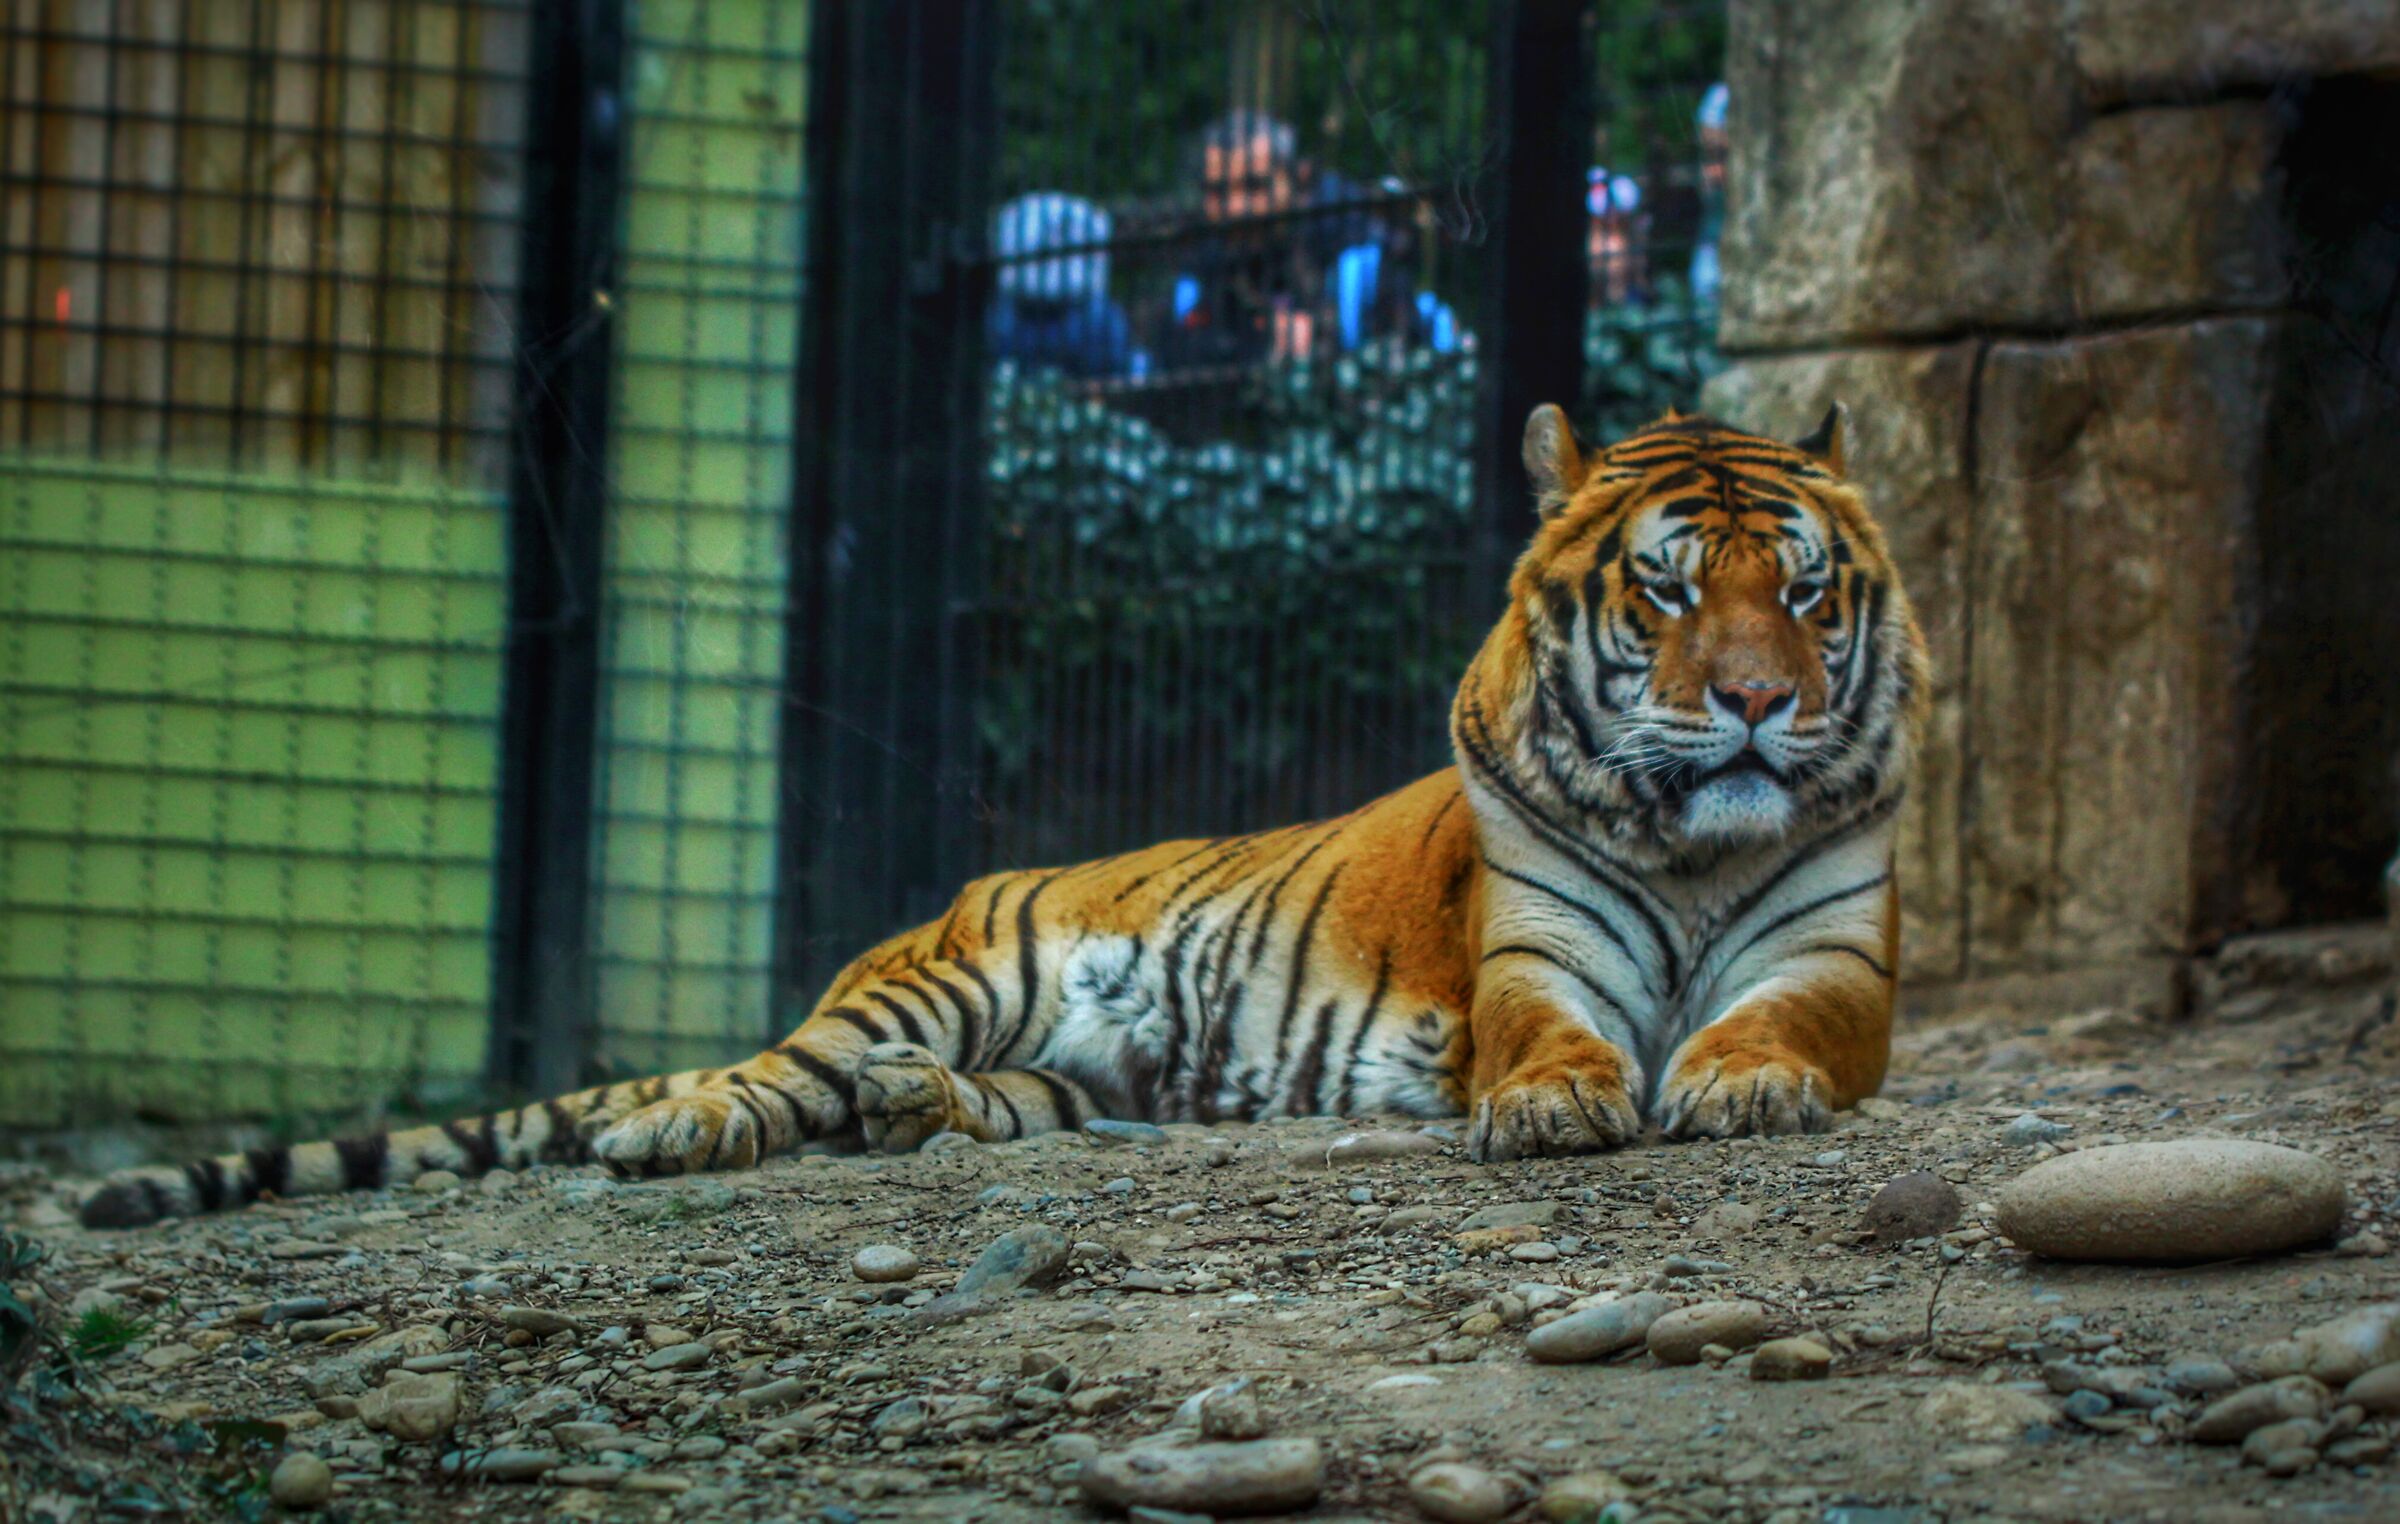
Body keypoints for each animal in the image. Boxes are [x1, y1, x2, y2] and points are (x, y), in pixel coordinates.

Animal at [80, 403, 1927, 1228]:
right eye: (1668, 592)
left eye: (1805, 593)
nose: (1756, 701)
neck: (1696, 845)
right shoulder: (1534, 963)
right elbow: (1552, 1040)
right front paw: (1554, 1108)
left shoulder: (1839, 957)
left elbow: (1782, 1024)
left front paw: (1741, 1081)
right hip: (954, 971)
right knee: (763, 1079)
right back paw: (687, 1129)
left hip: (1081, 1070)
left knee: (962, 1102)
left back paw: (917, 1112)